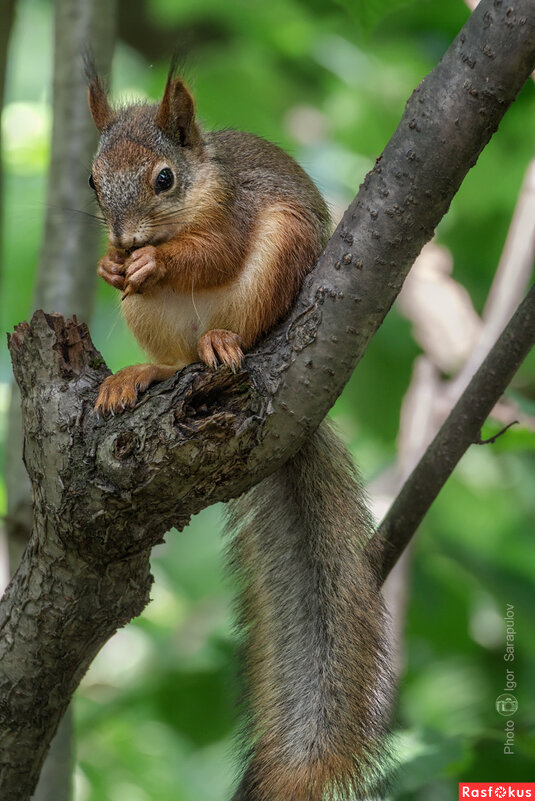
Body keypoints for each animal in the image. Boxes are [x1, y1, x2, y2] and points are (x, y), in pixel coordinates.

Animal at [86, 59, 392, 796]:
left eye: (164, 179)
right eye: (91, 181)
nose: (125, 240)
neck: (203, 187)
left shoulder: (241, 212)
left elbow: (215, 253)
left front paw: (157, 262)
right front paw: (112, 266)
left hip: (282, 254)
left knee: (239, 330)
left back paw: (223, 342)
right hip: (151, 321)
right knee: (175, 360)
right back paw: (139, 373)